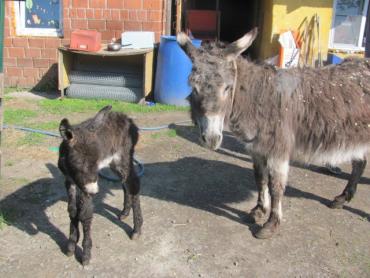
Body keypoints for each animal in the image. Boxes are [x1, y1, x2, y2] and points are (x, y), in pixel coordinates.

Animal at [57, 106, 142, 264]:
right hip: (114, 164)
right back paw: (125, 213)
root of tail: (125, 117)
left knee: (133, 184)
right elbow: (72, 211)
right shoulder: (69, 181)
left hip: (123, 159)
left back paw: (136, 230)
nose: (94, 191)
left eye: (95, 162)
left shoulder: (84, 187)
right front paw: (71, 244)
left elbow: (84, 214)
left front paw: (85, 253)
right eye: (78, 162)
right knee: (125, 184)